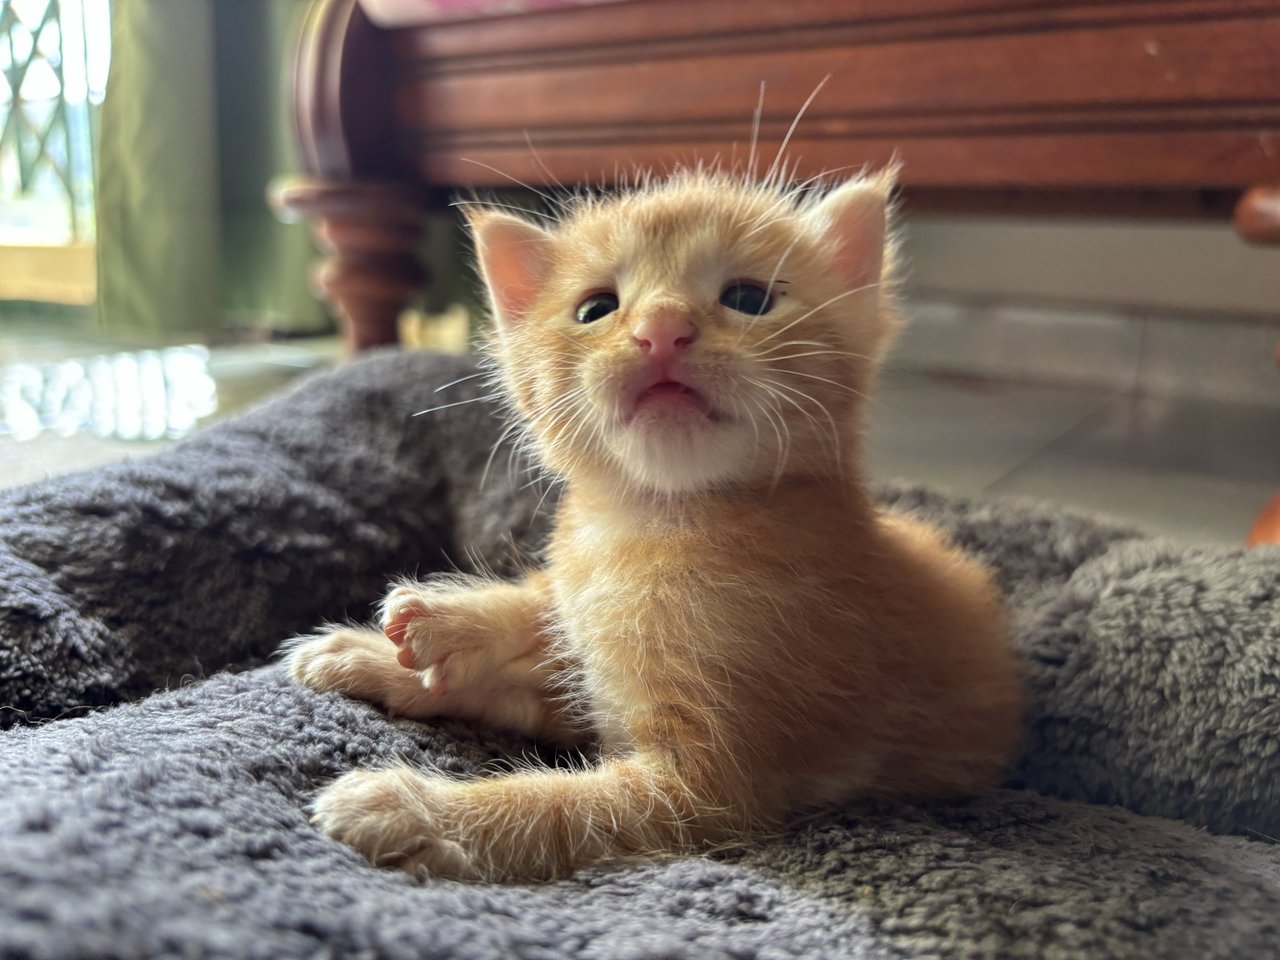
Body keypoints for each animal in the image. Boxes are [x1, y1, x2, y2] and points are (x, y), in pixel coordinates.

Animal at [285, 167, 1024, 885]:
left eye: (749, 298)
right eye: (595, 309)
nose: (663, 327)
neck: (649, 525)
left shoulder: (708, 787)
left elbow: (560, 806)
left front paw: (415, 808)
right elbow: (542, 619)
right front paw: (410, 643)